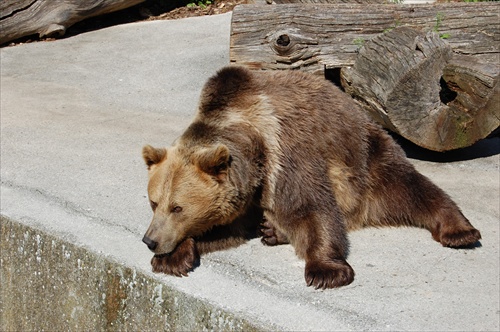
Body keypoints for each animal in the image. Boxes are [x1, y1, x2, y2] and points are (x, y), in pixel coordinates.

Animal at [141, 66, 480, 290]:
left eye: (177, 207)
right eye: (154, 202)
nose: (149, 240)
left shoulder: (286, 153)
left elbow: (310, 207)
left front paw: (326, 272)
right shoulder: (246, 195)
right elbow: (227, 227)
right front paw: (172, 258)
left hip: (367, 159)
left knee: (412, 188)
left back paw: (459, 231)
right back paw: (272, 229)